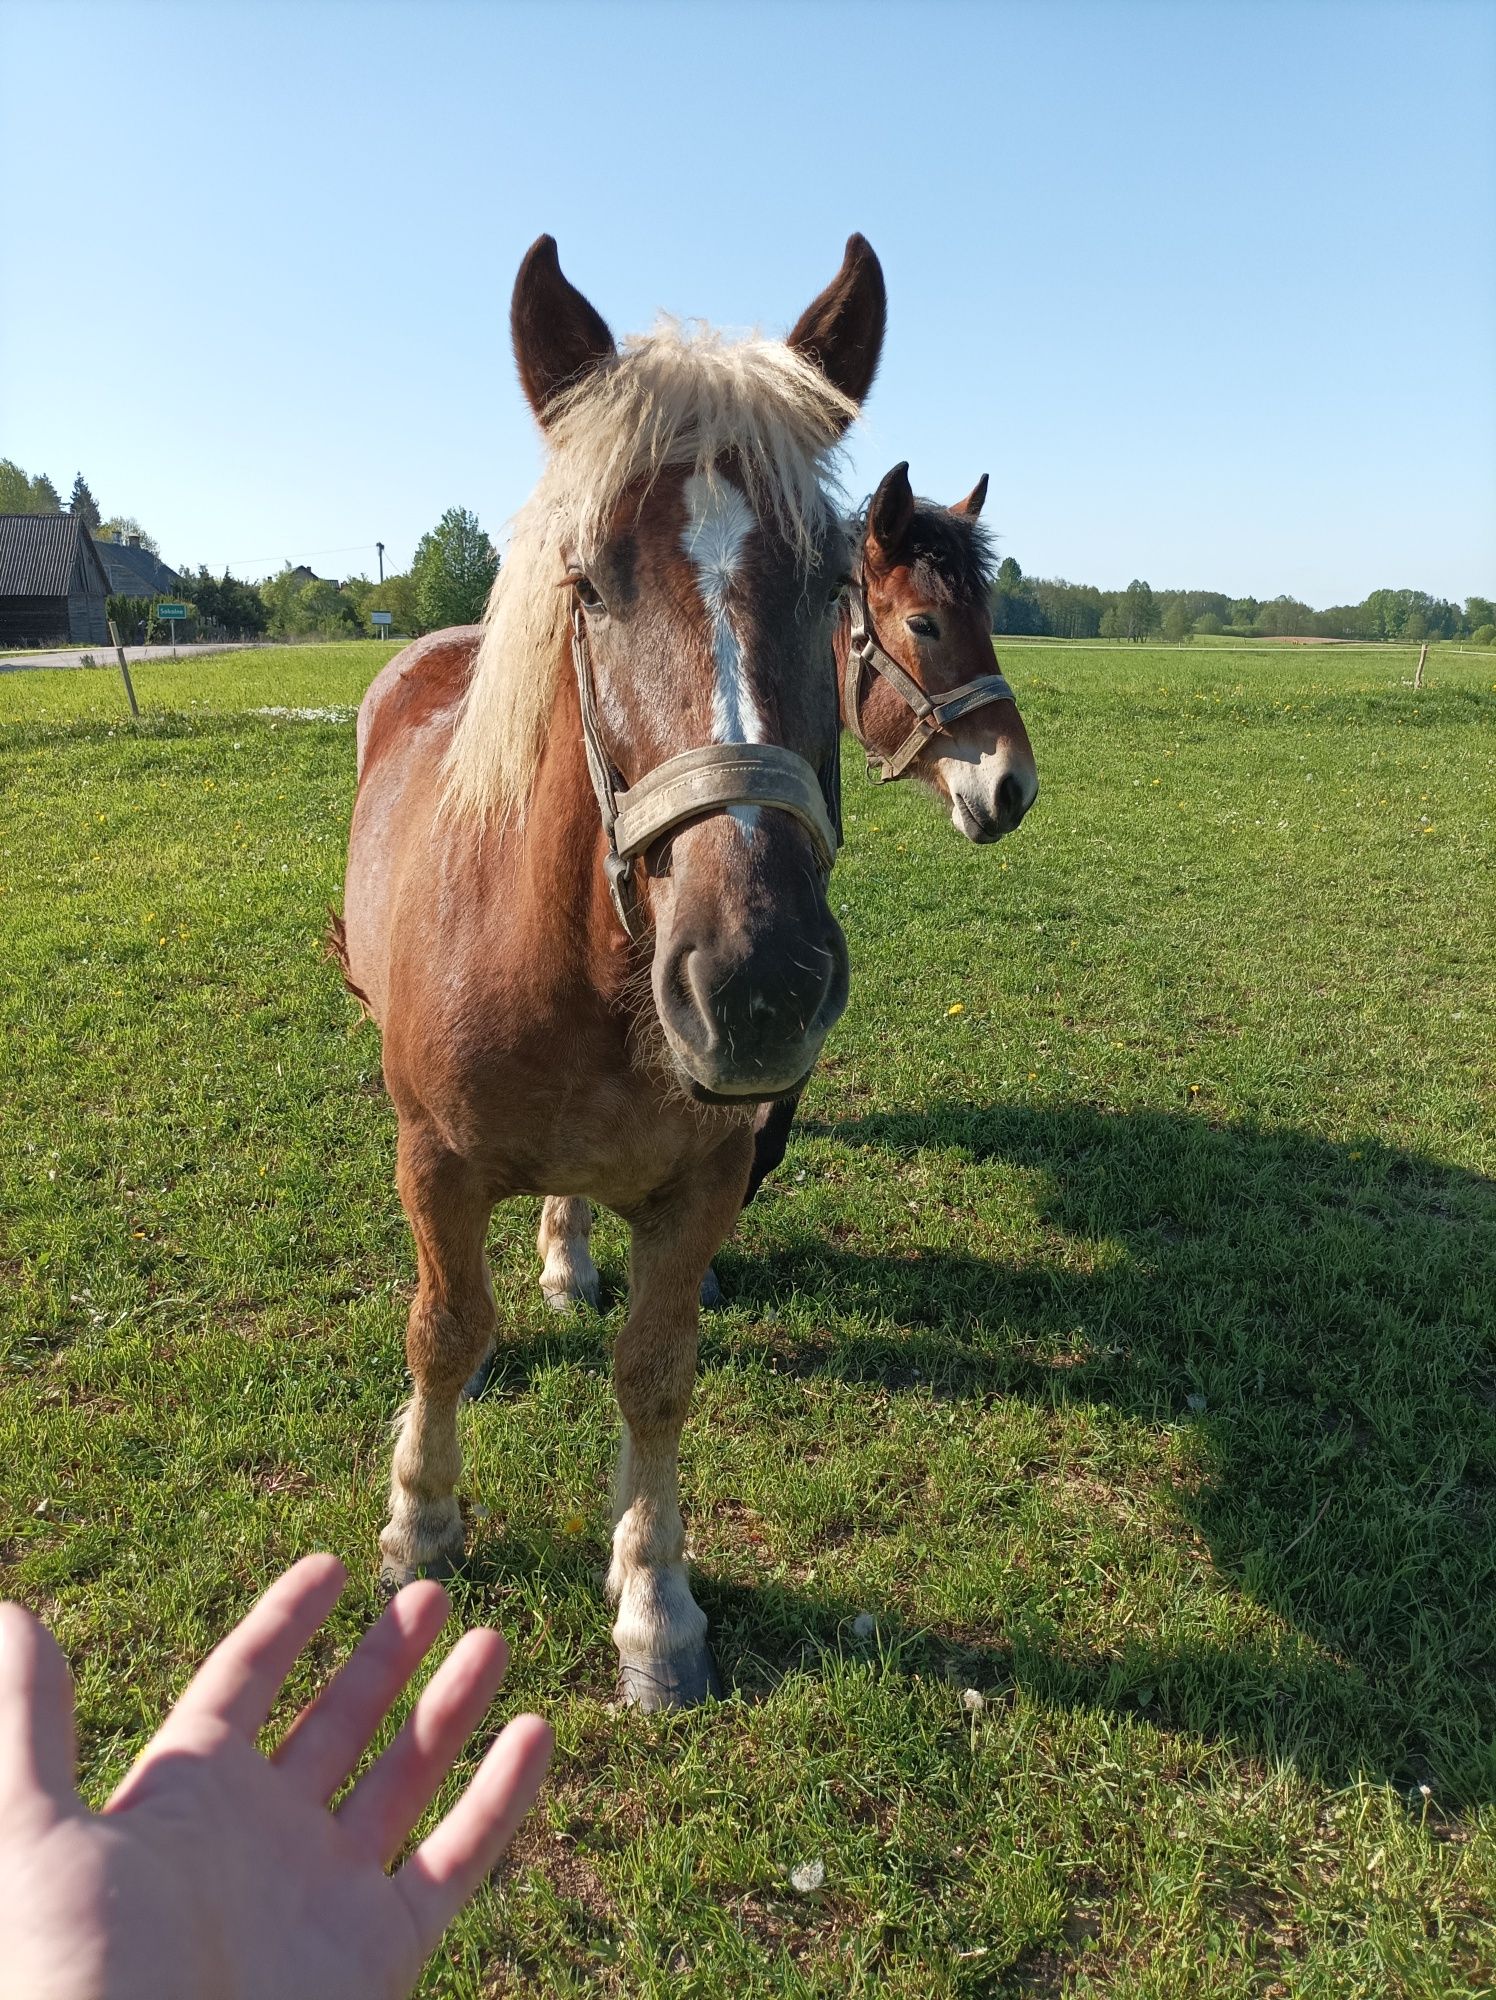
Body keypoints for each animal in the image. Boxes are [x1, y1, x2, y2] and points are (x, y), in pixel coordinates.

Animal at [344, 230, 884, 1704]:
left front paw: (655, 1604)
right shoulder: (433, 1160)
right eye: (588, 582)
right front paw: (422, 1519)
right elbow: (441, 1327)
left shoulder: (698, 1185)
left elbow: (654, 1371)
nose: (755, 982)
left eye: (835, 587)